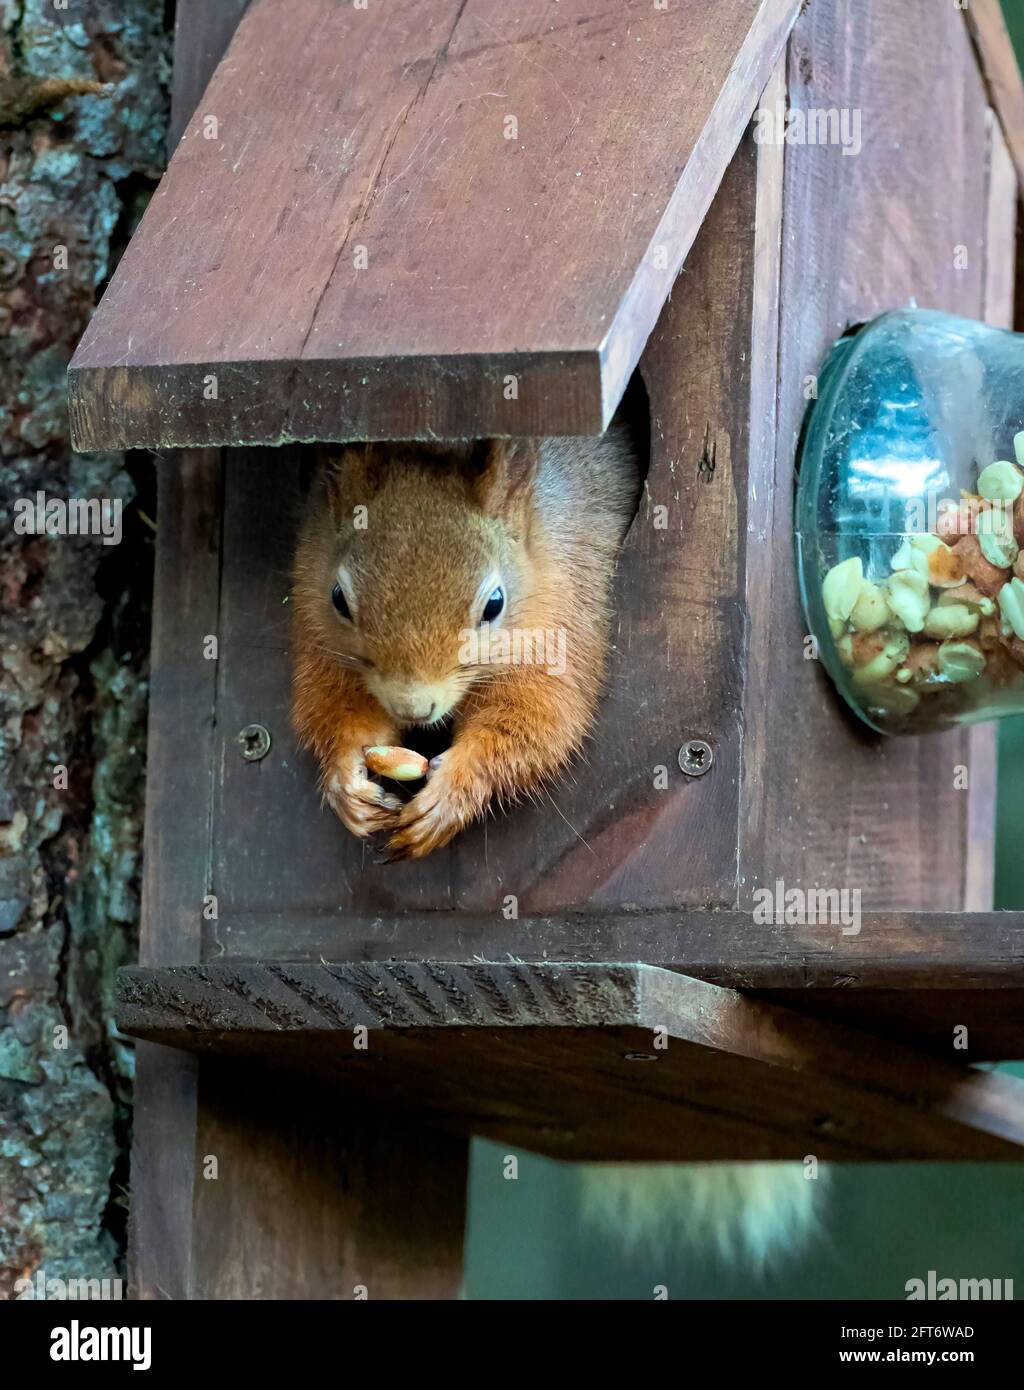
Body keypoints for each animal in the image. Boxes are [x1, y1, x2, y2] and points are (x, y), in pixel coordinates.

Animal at [290, 395, 644, 860]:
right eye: (338, 599)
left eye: (495, 604)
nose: (413, 708)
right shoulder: (319, 634)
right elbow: (334, 707)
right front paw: (346, 778)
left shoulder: (563, 625)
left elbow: (540, 720)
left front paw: (454, 790)